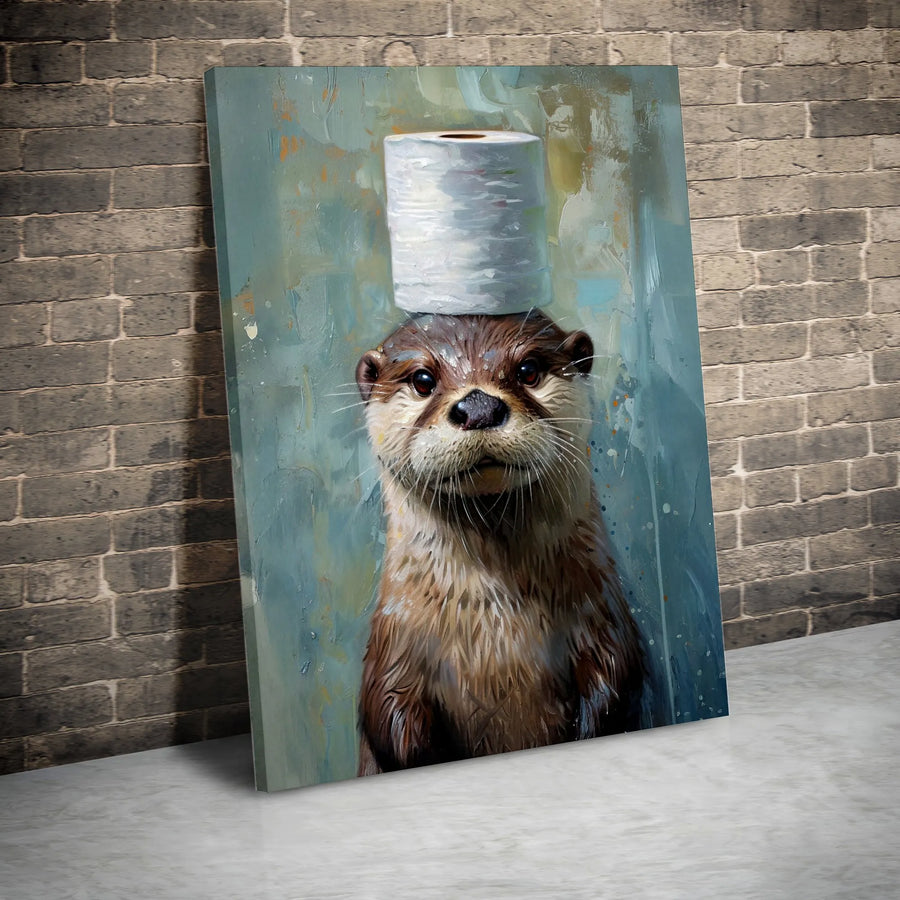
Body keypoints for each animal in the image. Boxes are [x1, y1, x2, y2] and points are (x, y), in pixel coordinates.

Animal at [355, 310, 644, 775]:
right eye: (422, 379)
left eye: (528, 370)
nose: (478, 406)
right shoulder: (393, 655)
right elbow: (391, 724)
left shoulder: (605, 624)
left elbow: (613, 690)